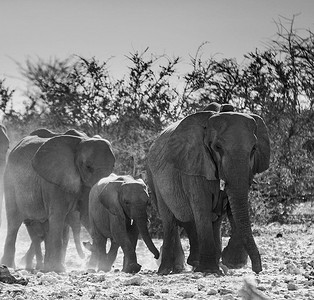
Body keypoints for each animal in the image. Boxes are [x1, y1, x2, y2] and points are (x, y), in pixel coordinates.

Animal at [1, 131, 114, 272]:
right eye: (88, 167)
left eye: (112, 167)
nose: (87, 243)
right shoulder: (53, 181)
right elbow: (58, 216)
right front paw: (57, 269)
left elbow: (86, 215)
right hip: (10, 180)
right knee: (13, 223)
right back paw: (9, 265)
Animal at [147, 105, 270, 274]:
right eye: (217, 147)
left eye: (254, 149)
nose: (257, 270)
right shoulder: (195, 163)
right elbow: (202, 205)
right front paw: (209, 270)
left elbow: (232, 206)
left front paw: (229, 263)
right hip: (154, 177)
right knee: (169, 220)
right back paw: (168, 270)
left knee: (205, 221)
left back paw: (194, 264)